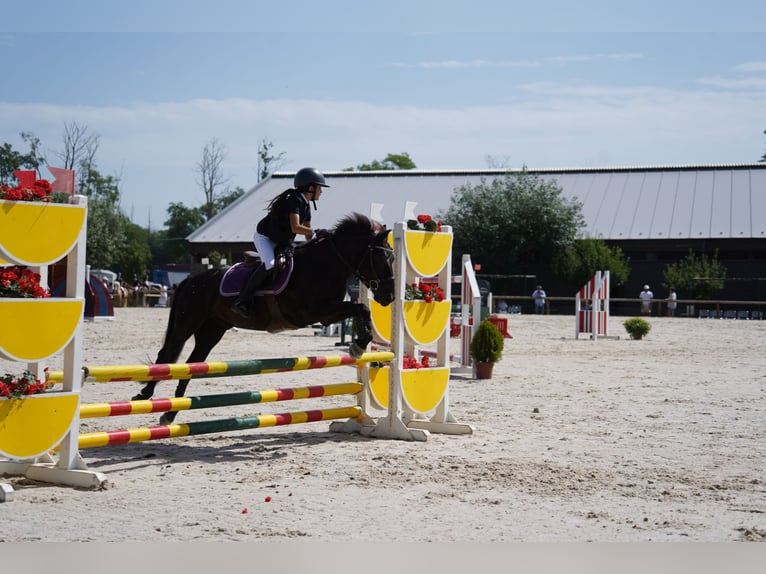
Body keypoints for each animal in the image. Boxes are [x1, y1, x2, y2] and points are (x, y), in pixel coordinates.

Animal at [134, 214, 396, 426]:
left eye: (393, 260)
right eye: (381, 259)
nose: (389, 297)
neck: (324, 264)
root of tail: (192, 280)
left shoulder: (326, 312)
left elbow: (362, 309)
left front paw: (360, 345)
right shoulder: (314, 312)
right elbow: (358, 307)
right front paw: (358, 345)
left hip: (212, 331)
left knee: (192, 364)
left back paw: (170, 413)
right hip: (187, 323)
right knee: (167, 354)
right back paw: (145, 395)